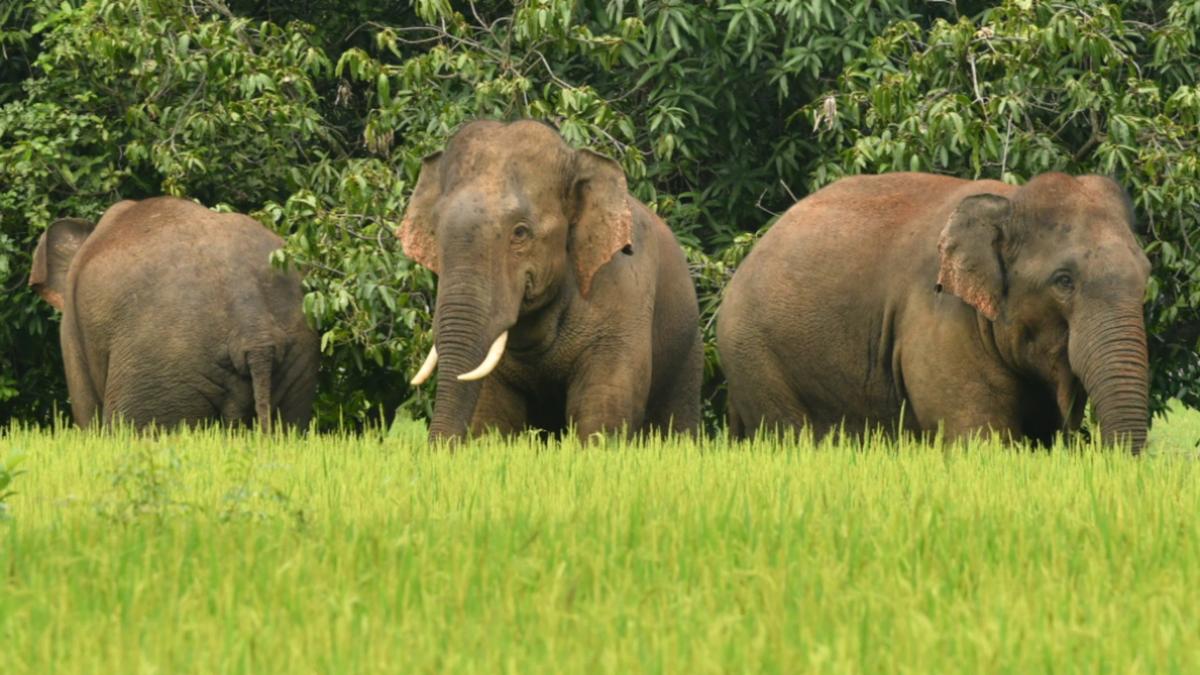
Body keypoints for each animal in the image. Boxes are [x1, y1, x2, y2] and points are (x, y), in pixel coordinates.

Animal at [399, 120, 702, 441]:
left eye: (520, 232)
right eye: (435, 230)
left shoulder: (624, 294)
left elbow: (603, 408)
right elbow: (493, 415)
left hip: (689, 353)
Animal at [717, 172, 1152, 452]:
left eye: (1147, 275)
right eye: (1063, 281)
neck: (1009, 201)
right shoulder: (941, 319)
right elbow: (976, 437)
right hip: (757, 359)